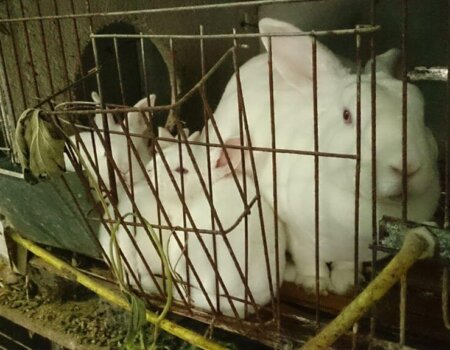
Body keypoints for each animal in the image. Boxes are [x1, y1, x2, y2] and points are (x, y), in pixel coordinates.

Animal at [209, 17, 442, 294]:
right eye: (347, 115)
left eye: (422, 113)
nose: (407, 166)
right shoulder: (297, 232)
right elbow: (308, 258)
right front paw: (315, 284)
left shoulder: (354, 250)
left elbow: (346, 263)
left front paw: (345, 283)